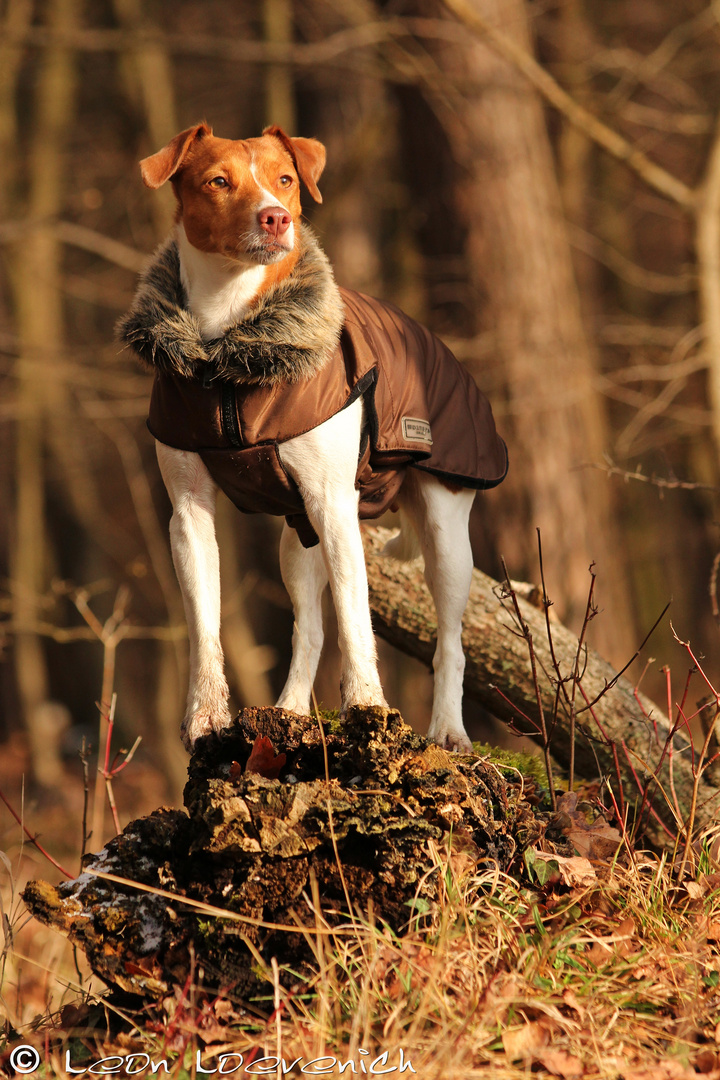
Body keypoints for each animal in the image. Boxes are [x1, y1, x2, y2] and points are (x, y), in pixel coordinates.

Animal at [119, 124, 507, 751]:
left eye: (285, 180)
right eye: (218, 181)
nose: (276, 217)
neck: (231, 341)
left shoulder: (333, 505)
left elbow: (355, 621)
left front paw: (369, 707)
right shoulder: (189, 513)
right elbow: (205, 623)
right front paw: (205, 716)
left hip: (447, 536)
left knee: (449, 640)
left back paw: (448, 729)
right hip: (296, 540)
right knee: (309, 629)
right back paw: (291, 710)